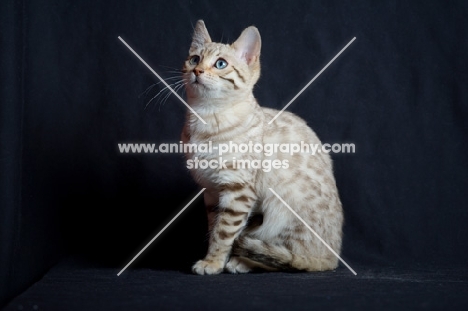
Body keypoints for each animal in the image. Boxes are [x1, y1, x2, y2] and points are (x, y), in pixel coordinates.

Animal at [181, 20, 342, 276]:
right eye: (195, 59)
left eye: (220, 64)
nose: (197, 71)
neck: (205, 118)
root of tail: (333, 257)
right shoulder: (212, 190)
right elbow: (213, 227)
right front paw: (213, 259)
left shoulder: (237, 189)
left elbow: (223, 233)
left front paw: (213, 262)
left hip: (282, 210)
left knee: (292, 259)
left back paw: (243, 262)